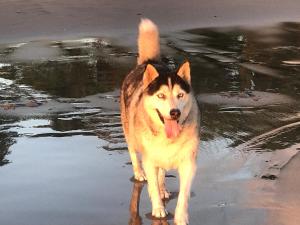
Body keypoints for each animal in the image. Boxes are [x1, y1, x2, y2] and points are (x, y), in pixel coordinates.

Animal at [119, 18, 199, 224]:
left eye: (180, 95)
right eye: (161, 95)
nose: (175, 112)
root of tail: (149, 62)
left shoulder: (188, 163)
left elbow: (183, 194)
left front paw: (180, 216)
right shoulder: (149, 159)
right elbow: (152, 185)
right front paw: (158, 210)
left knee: (162, 171)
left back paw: (163, 188)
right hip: (129, 131)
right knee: (134, 154)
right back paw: (139, 174)